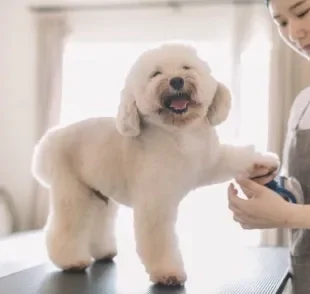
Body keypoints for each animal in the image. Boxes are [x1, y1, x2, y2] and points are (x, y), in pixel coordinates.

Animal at [32, 44, 280, 286]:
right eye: (156, 74)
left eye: (186, 67)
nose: (176, 80)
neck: (180, 135)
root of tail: (51, 139)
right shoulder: (156, 201)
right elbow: (159, 239)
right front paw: (168, 273)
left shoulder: (209, 161)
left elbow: (233, 157)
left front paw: (264, 163)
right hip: (74, 193)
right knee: (66, 227)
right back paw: (71, 260)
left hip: (101, 195)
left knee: (101, 222)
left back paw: (104, 251)